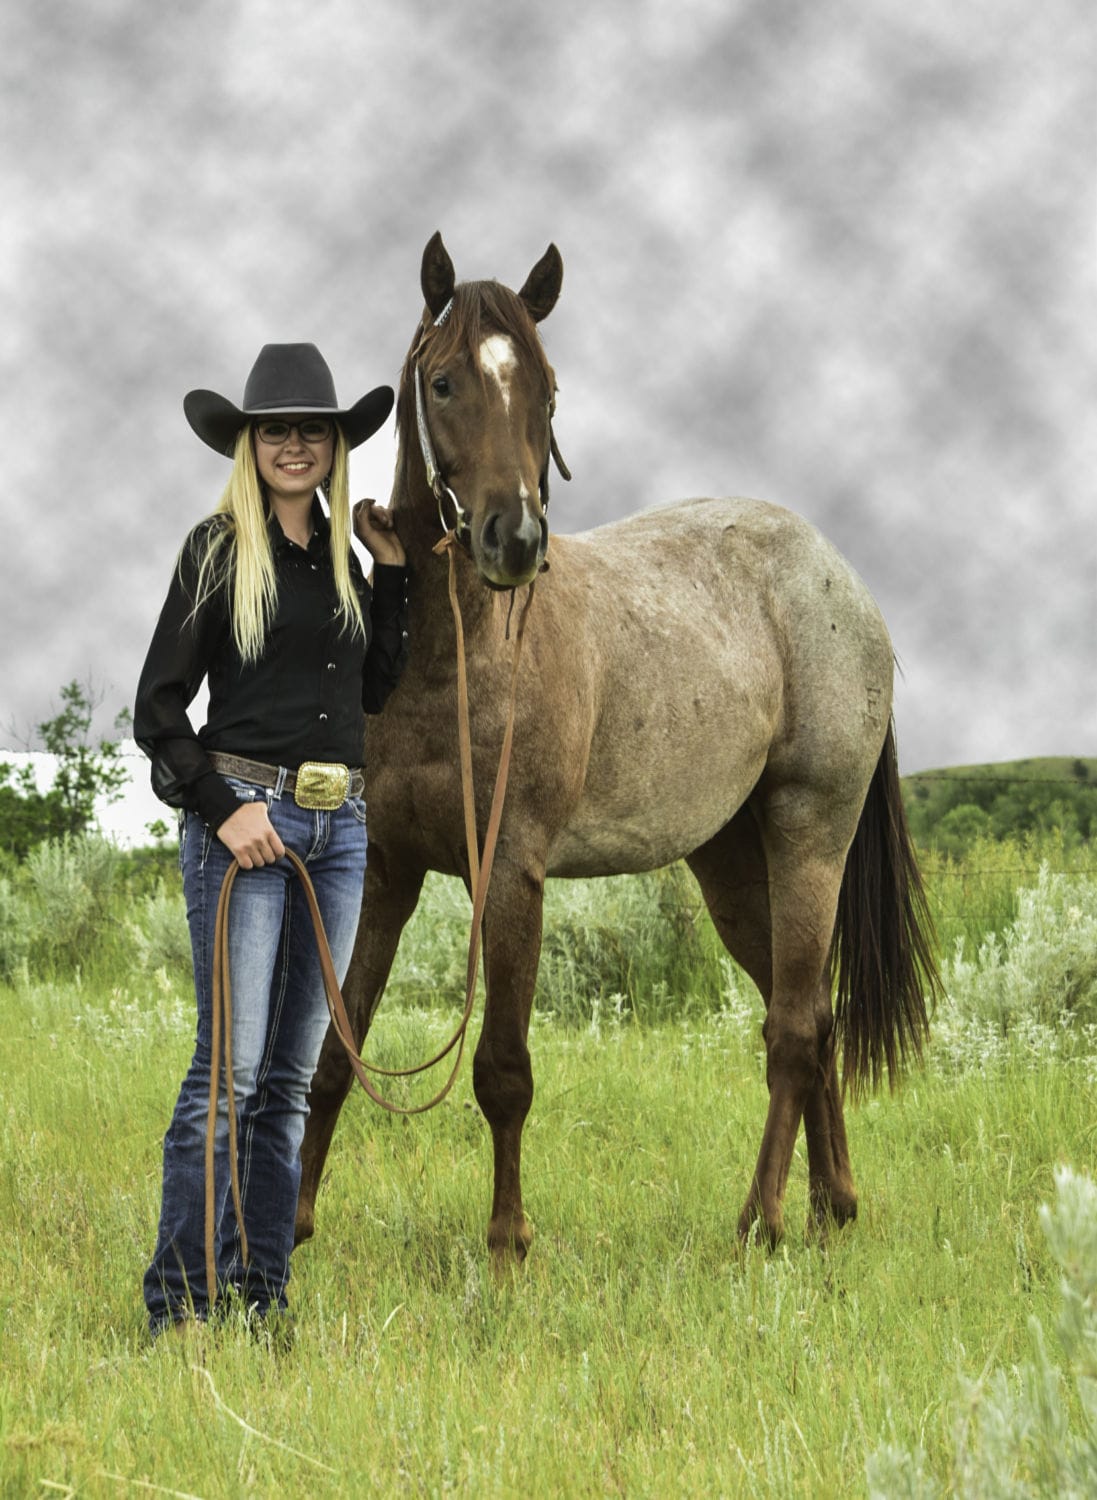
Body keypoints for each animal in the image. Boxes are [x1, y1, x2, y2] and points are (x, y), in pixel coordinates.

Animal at [295, 231, 937, 1258]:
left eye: (547, 389)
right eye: (441, 382)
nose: (513, 542)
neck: (451, 655)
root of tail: (841, 580)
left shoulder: (508, 874)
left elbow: (503, 1071)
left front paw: (507, 1245)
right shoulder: (390, 867)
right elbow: (335, 1047)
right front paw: (292, 1229)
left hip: (809, 838)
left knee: (793, 1031)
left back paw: (760, 1222)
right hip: (731, 865)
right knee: (813, 1016)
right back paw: (831, 1206)